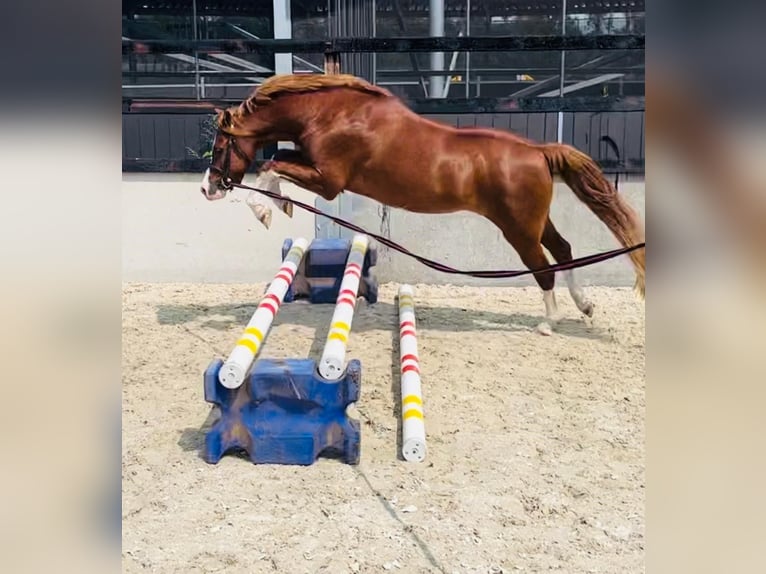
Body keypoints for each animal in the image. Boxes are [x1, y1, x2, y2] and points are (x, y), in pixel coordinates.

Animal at [201, 73, 644, 336]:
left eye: (220, 146)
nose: (209, 188)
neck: (335, 114)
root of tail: (538, 151)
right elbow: (277, 160)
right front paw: (277, 206)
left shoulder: (328, 183)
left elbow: (270, 165)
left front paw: (266, 209)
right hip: (535, 222)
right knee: (564, 251)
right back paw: (584, 306)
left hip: (518, 229)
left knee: (543, 267)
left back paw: (549, 322)